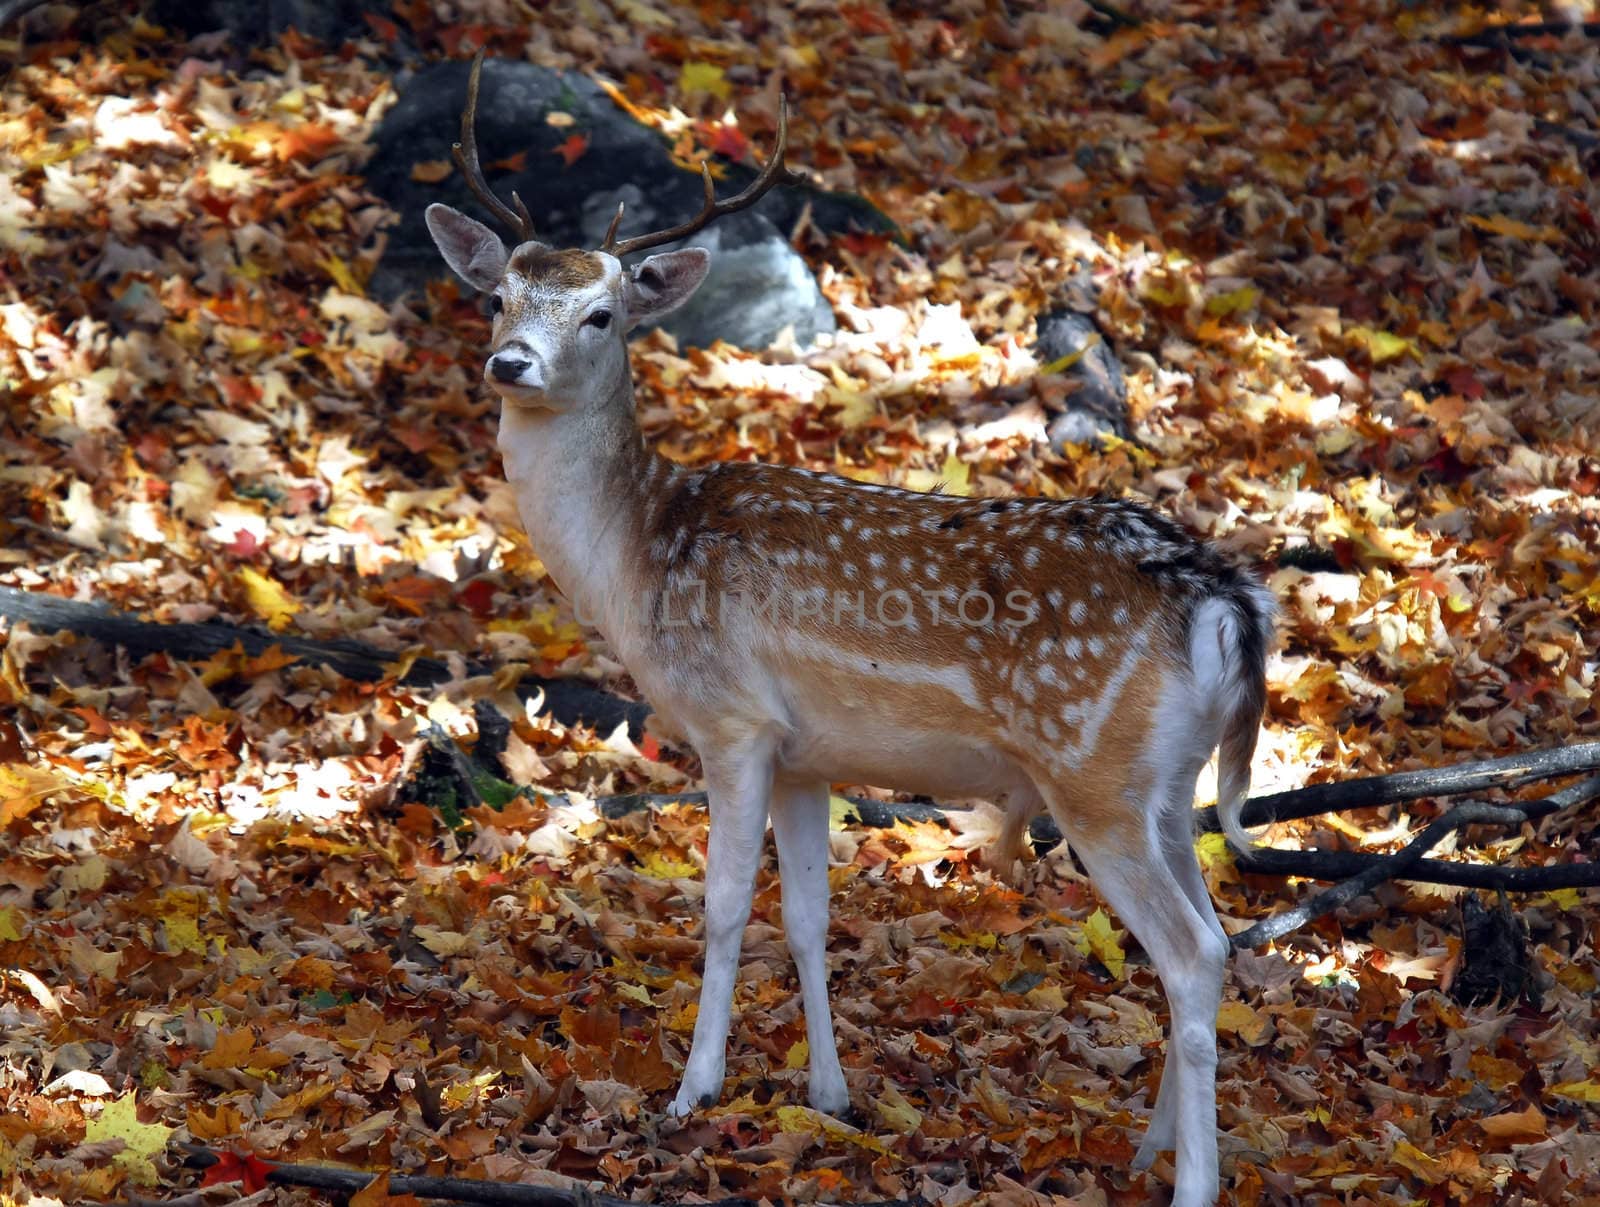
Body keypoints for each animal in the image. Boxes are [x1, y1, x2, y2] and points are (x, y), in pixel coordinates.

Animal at [428, 51, 1273, 1197]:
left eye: (602, 315)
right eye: (500, 296)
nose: (510, 361)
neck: (639, 559)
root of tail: (1227, 602)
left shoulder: (732, 720)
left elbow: (723, 906)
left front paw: (691, 1090)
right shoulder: (807, 753)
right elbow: (807, 916)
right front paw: (828, 1093)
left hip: (1092, 774)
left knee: (1190, 952)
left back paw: (1192, 1179)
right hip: (1170, 784)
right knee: (1219, 937)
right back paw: (1150, 1146)